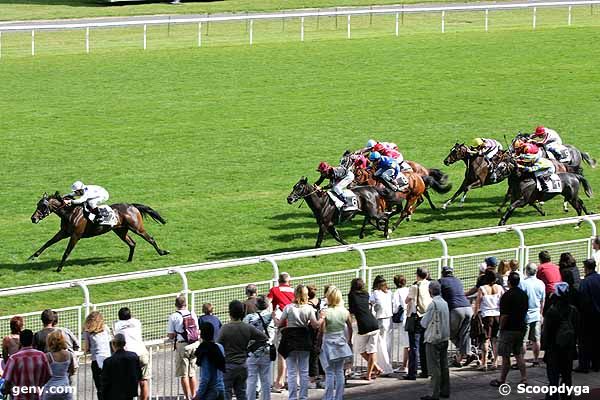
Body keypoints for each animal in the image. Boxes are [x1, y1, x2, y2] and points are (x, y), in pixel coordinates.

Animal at [29, 191, 169, 272]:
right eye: (37, 205)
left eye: (43, 206)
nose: (33, 218)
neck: (71, 213)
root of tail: (132, 206)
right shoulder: (64, 233)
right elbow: (48, 242)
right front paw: (33, 256)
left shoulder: (75, 235)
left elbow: (67, 252)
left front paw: (59, 268)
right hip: (120, 231)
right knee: (132, 243)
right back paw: (129, 260)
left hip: (137, 228)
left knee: (150, 239)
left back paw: (162, 252)